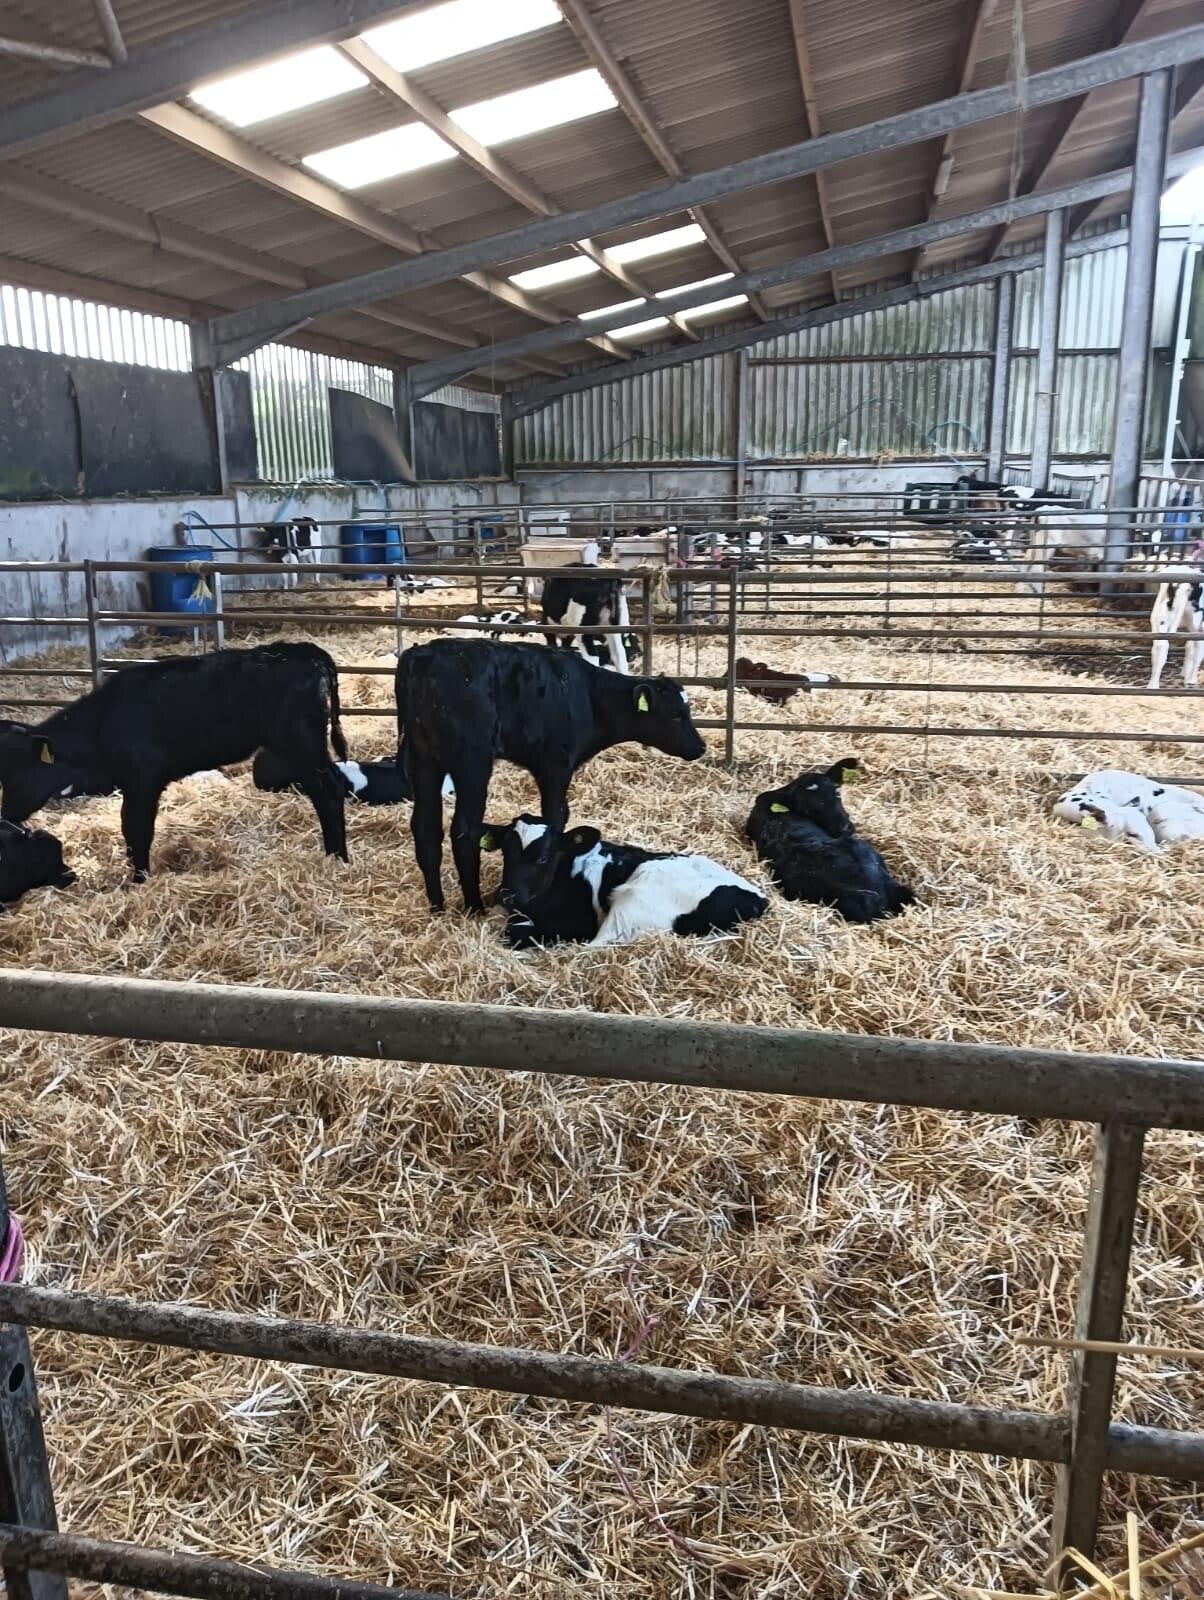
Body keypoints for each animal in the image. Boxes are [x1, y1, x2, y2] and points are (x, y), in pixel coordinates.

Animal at [0, 643, 349, 880]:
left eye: (17, 774)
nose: (7, 815)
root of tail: (302, 651)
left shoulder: (143, 781)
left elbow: (136, 830)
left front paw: (139, 880)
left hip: (301, 745)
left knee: (328, 794)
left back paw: (337, 858)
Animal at [395, 640, 706, 913]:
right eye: (676, 714)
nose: (700, 747)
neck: (589, 696)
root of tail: (420, 656)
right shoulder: (556, 765)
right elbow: (556, 816)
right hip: (472, 763)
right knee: (464, 831)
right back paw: (474, 907)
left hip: (422, 761)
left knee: (426, 829)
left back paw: (437, 907)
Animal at [481, 815, 767, 948]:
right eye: (505, 852)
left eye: (543, 858)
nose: (507, 895)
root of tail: (758, 897)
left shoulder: (578, 924)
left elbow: (516, 932)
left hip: (629, 906)